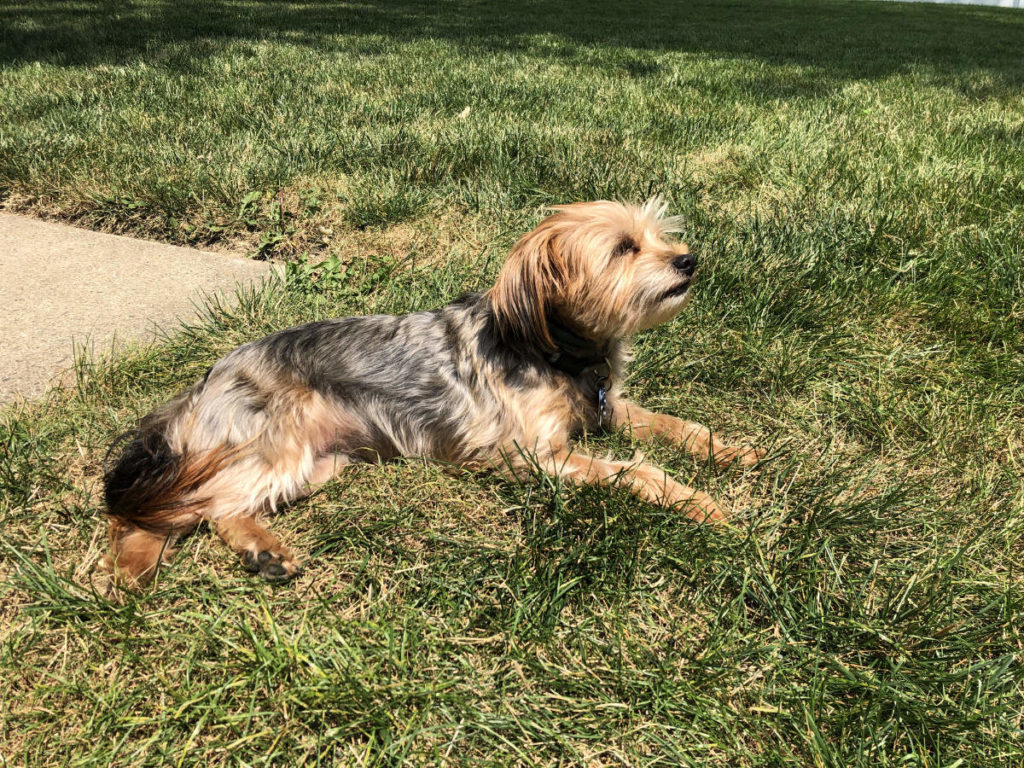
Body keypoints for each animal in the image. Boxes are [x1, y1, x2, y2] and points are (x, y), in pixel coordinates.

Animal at [101, 199, 761, 589]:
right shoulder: (535, 456)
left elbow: (667, 423)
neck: (557, 349)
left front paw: (731, 452)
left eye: (660, 236)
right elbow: (635, 470)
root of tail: (203, 384)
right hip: (271, 446)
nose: (689, 260)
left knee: (212, 507)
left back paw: (250, 551)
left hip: (322, 464)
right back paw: (138, 564)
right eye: (625, 248)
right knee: (180, 507)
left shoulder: (604, 407)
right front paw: (702, 503)